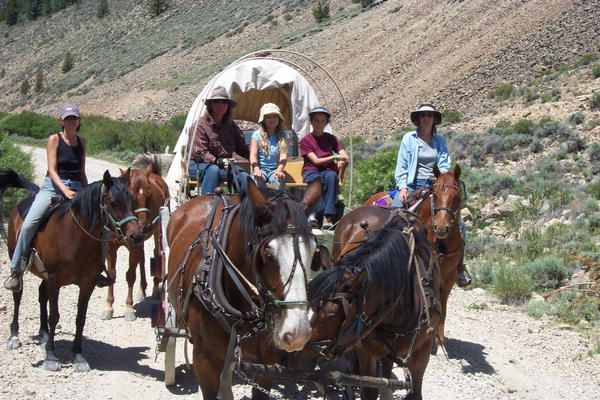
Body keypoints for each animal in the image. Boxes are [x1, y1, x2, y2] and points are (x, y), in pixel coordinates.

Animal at [0, 170, 143, 372]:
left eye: (132, 201)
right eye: (112, 202)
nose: (136, 236)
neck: (75, 236)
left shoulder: (87, 283)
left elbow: (80, 318)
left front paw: (78, 356)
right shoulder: (55, 280)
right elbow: (54, 316)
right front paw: (51, 357)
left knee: (41, 294)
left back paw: (44, 334)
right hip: (19, 260)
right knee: (18, 296)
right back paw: (14, 336)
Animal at [102, 158, 169, 320]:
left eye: (150, 194)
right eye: (131, 196)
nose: (143, 226)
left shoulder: (134, 246)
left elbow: (130, 275)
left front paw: (129, 308)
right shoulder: (110, 248)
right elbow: (111, 274)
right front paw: (108, 307)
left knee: (155, 253)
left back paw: (155, 288)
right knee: (142, 259)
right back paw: (142, 290)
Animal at [304, 209, 440, 400]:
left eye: (331, 316)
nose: (301, 349)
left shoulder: (423, 351)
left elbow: (415, 391)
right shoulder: (367, 350)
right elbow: (369, 388)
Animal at [360, 164, 464, 346]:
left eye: (456, 196)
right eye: (435, 194)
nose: (441, 227)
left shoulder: (449, 276)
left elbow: (443, 306)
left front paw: (439, 338)